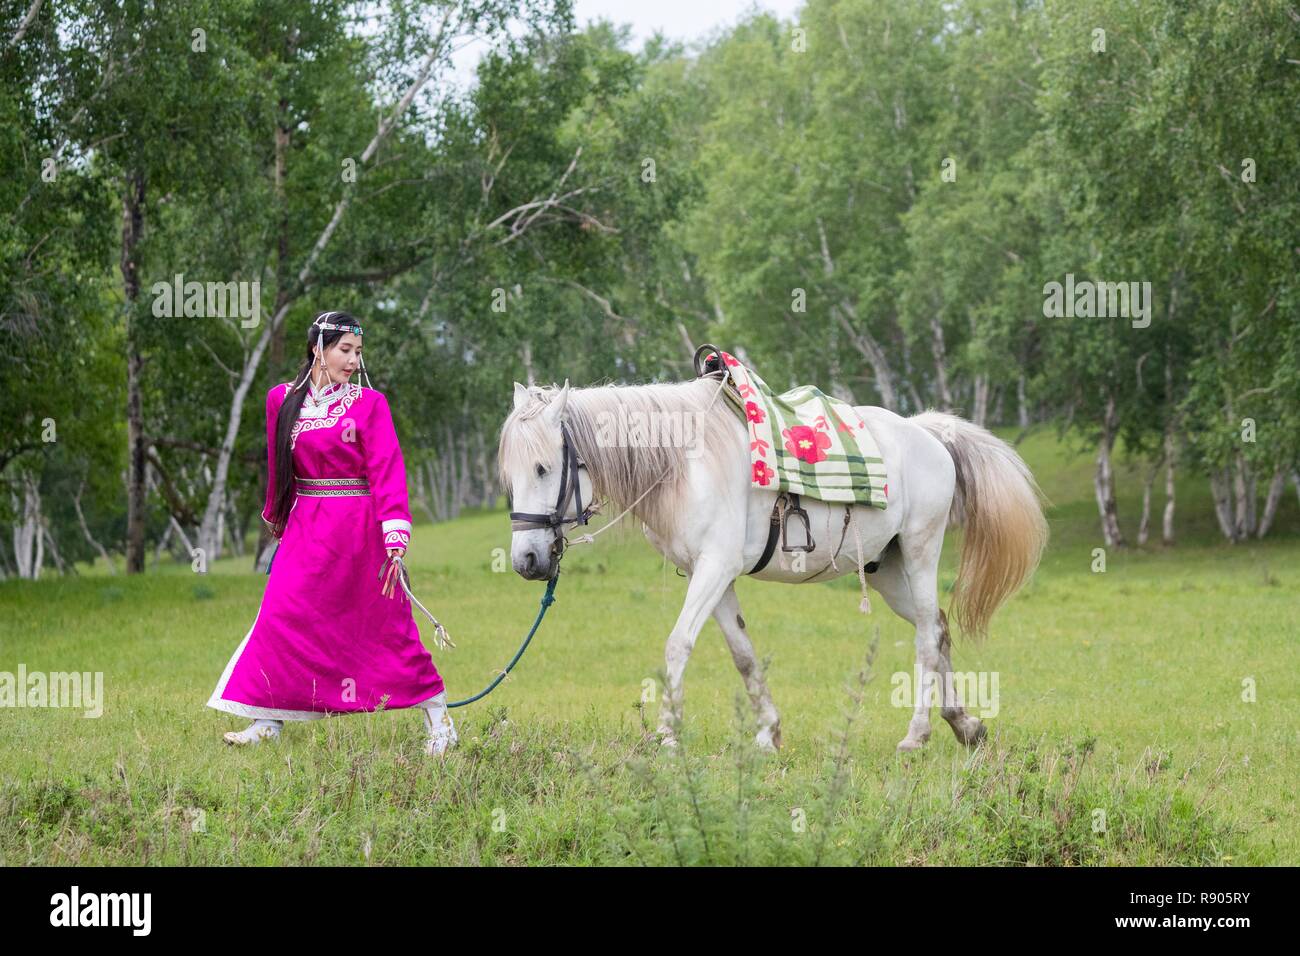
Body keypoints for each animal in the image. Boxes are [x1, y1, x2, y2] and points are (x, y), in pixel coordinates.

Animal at [497, 373, 1047, 752]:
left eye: (543, 468)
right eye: (510, 473)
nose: (527, 559)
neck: (685, 463)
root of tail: (927, 434)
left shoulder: (714, 568)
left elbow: (678, 644)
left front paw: (668, 734)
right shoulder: (712, 576)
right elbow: (742, 654)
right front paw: (768, 732)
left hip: (920, 551)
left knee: (928, 638)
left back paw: (917, 734)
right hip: (889, 572)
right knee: (939, 627)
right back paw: (964, 724)